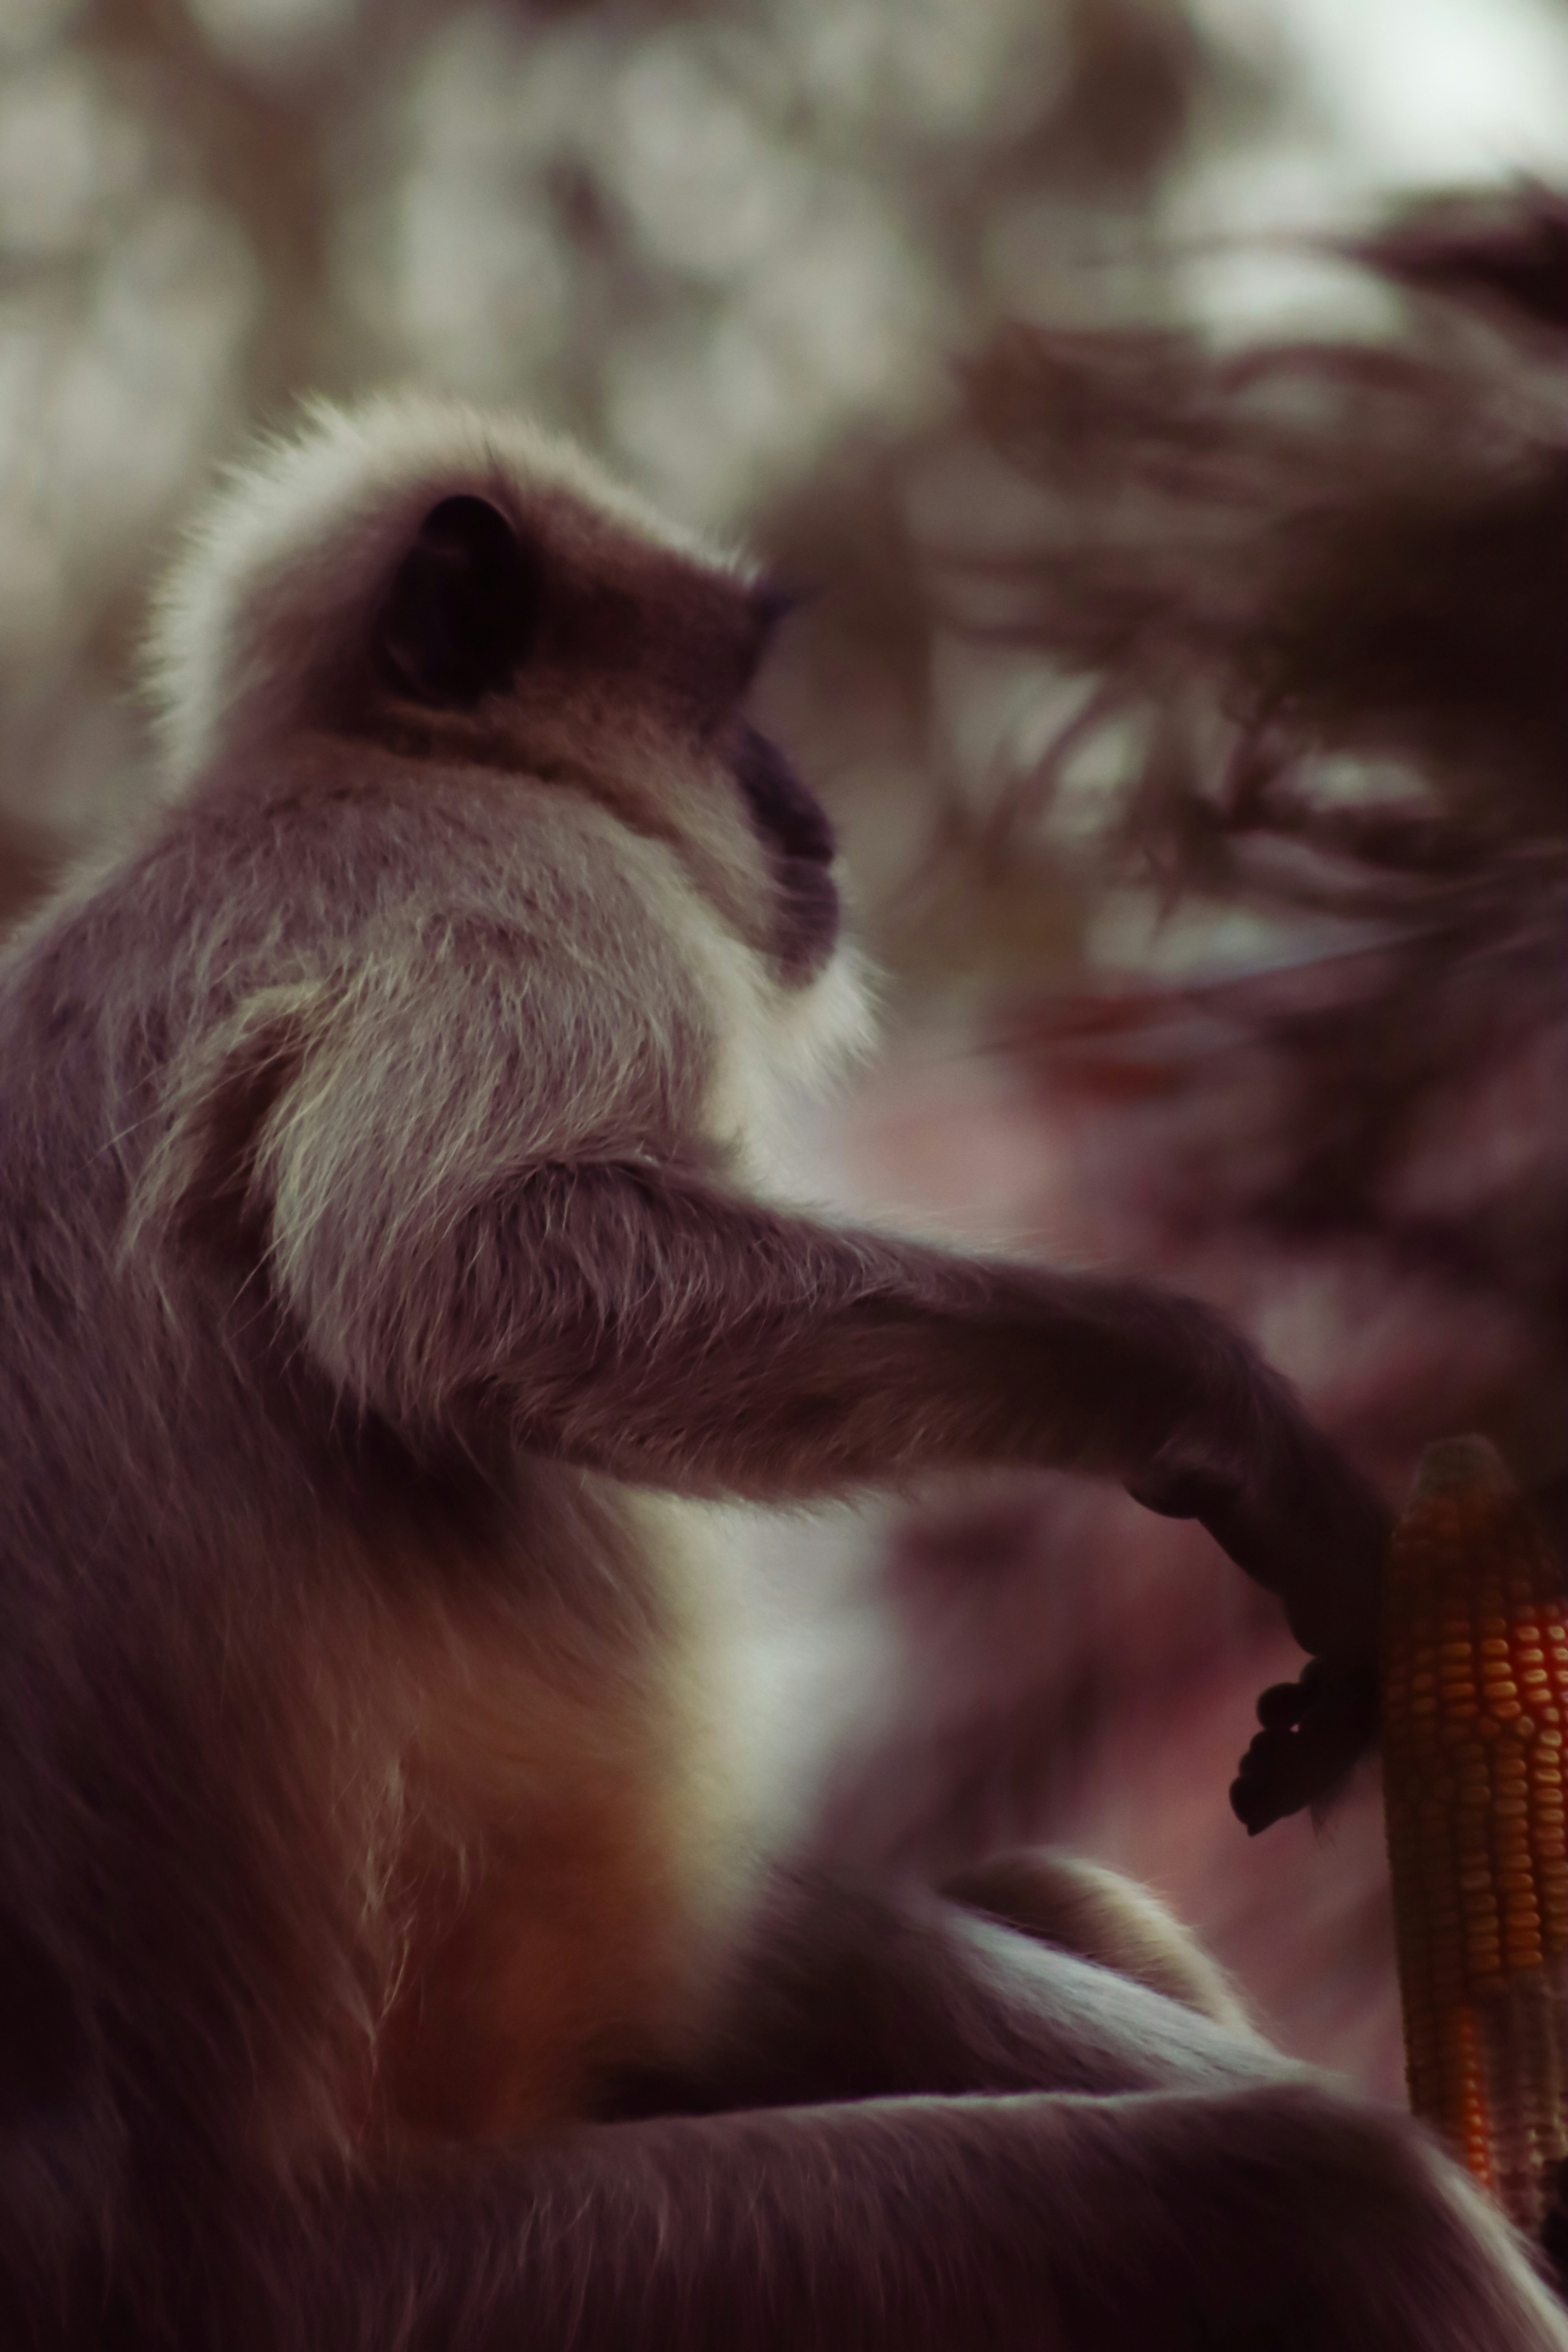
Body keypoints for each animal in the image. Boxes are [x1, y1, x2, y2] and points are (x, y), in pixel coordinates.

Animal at [0, 392, 1561, 2351]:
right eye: (731, 695)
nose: (799, 801)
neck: (333, 765)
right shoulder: (516, 869)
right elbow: (457, 1266)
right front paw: (1215, 1413)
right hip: (459, 2283)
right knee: (1323, 2202)